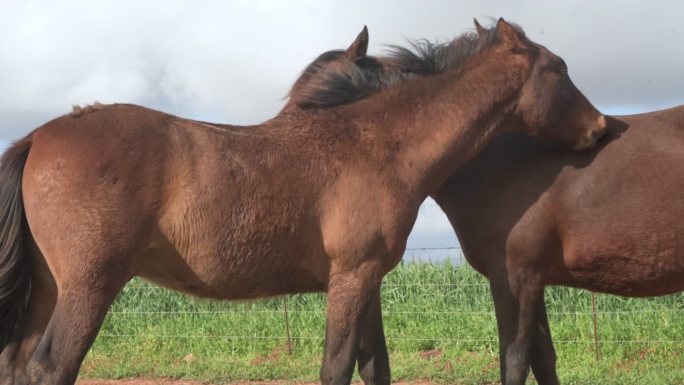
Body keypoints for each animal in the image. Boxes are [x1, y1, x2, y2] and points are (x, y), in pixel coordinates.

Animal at [0, 18, 604, 384]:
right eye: (559, 70)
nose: (599, 127)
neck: (374, 144)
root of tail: (39, 137)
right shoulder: (352, 276)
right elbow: (336, 367)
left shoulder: (366, 279)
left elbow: (374, 367)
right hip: (89, 286)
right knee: (50, 367)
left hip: (49, 289)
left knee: (17, 363)